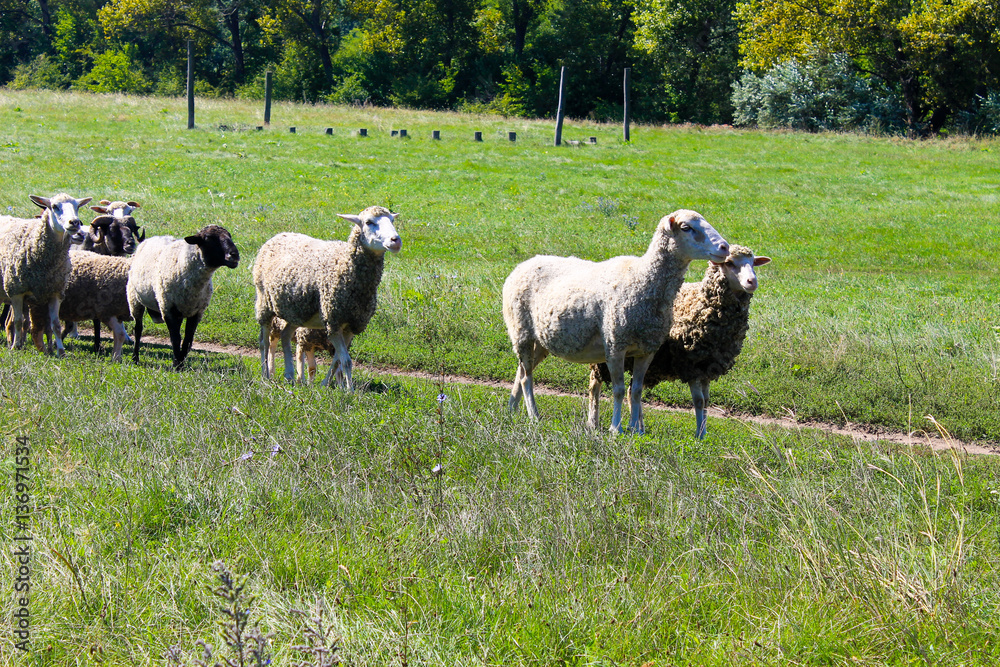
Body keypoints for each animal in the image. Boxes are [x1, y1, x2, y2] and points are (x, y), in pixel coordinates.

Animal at [0, 193, 91, 353]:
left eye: (77, 206)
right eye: (54, 206)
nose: (74, 223)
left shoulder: (55, 293)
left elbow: (55, 325)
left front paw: (60, 351)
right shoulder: (15, 290)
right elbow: (18, 321)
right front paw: (16, 346)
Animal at [127, 225, 240, 369]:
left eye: (229, 236)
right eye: (208, 238)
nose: (234, 255)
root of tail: (147, 240)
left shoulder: (197, 313)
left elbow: (187, 340)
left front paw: (181, 362)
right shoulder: (167, 309)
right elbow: (175, 339)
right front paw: (177, 365)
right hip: (134, 298)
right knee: (138, 329)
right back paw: (135, 358)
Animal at [254, 205, 402, 389]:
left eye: (392, 220)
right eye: (369, 222)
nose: (396, 240)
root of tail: (278, 235)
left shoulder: (350, 325)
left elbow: (338, 360)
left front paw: (328, 384)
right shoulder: (334, 320)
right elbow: (346, 361)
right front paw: (350, 391)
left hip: (297, 312)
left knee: (285, 335)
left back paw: (289, 375)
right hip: (264, 303)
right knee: (264, 342)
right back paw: (265, 375)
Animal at [501, 209, 730, 434]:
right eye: (686, 227)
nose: (724, 247)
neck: (643, 279)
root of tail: (522, 265)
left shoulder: (647, 350)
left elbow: (636, 391)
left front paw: (635, 430)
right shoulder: (614, 345)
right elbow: (619, 390)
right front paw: (615, 428)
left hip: (540, 341)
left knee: (521, 372)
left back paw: (512, 409)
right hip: (521, 331)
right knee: (526, 377)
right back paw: (533, 416)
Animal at [590, 245, 771, 438]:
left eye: (753, 263)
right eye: (729, 263)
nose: (752, 281)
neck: (701, 304)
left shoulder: (708, 365)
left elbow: (707, 400)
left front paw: (704, 431)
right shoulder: (690, 364)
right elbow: (698, 401)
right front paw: (699, 435)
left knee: (632, 390)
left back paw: (639, 428)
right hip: (603, 356)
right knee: (594, 385)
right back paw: (593, 422)